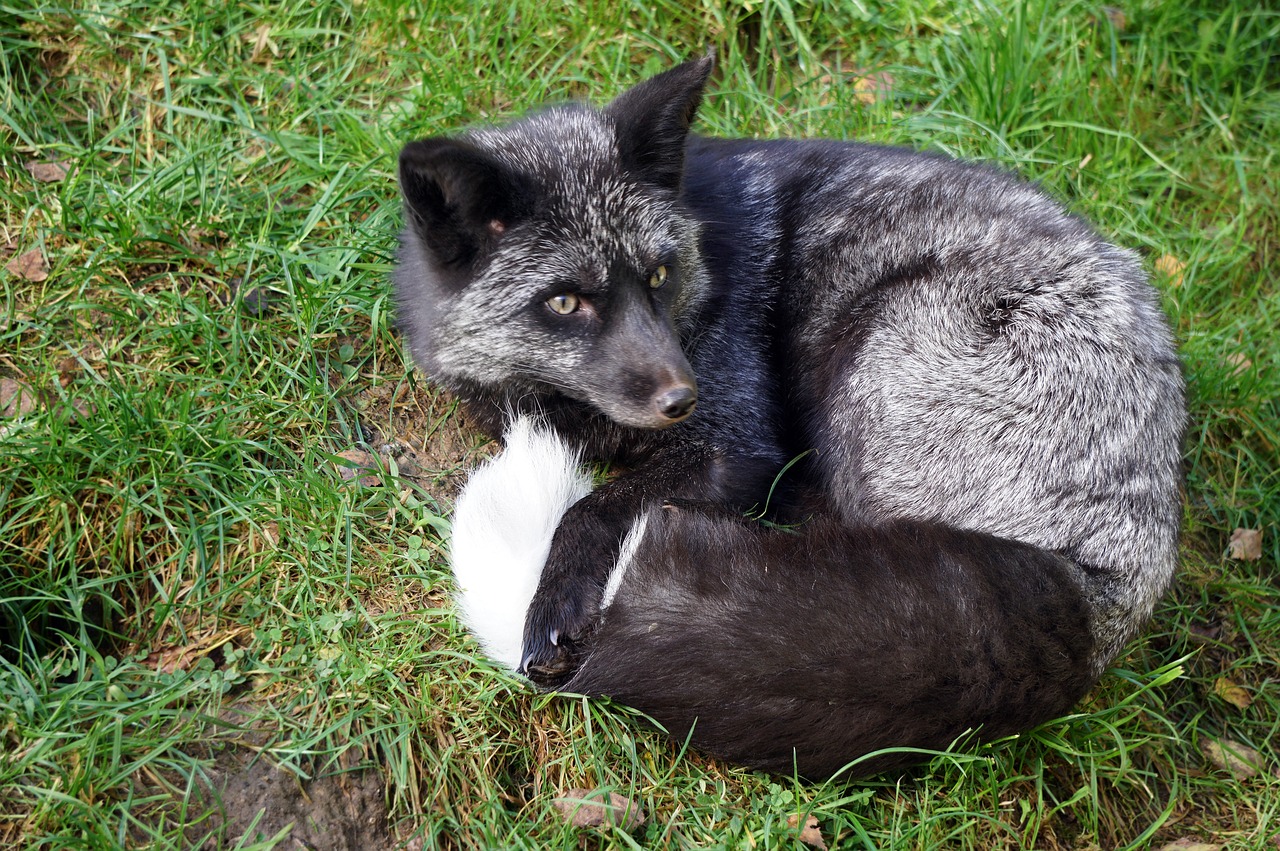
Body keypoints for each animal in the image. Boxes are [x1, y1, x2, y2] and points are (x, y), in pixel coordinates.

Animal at [394, 56, 1182, 778]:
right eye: (564, 302)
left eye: (657, 275)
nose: (684, 398)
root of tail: (1109, 587)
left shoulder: (734, 446)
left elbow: (592, 508)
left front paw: (556, 601)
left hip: (876, 346)